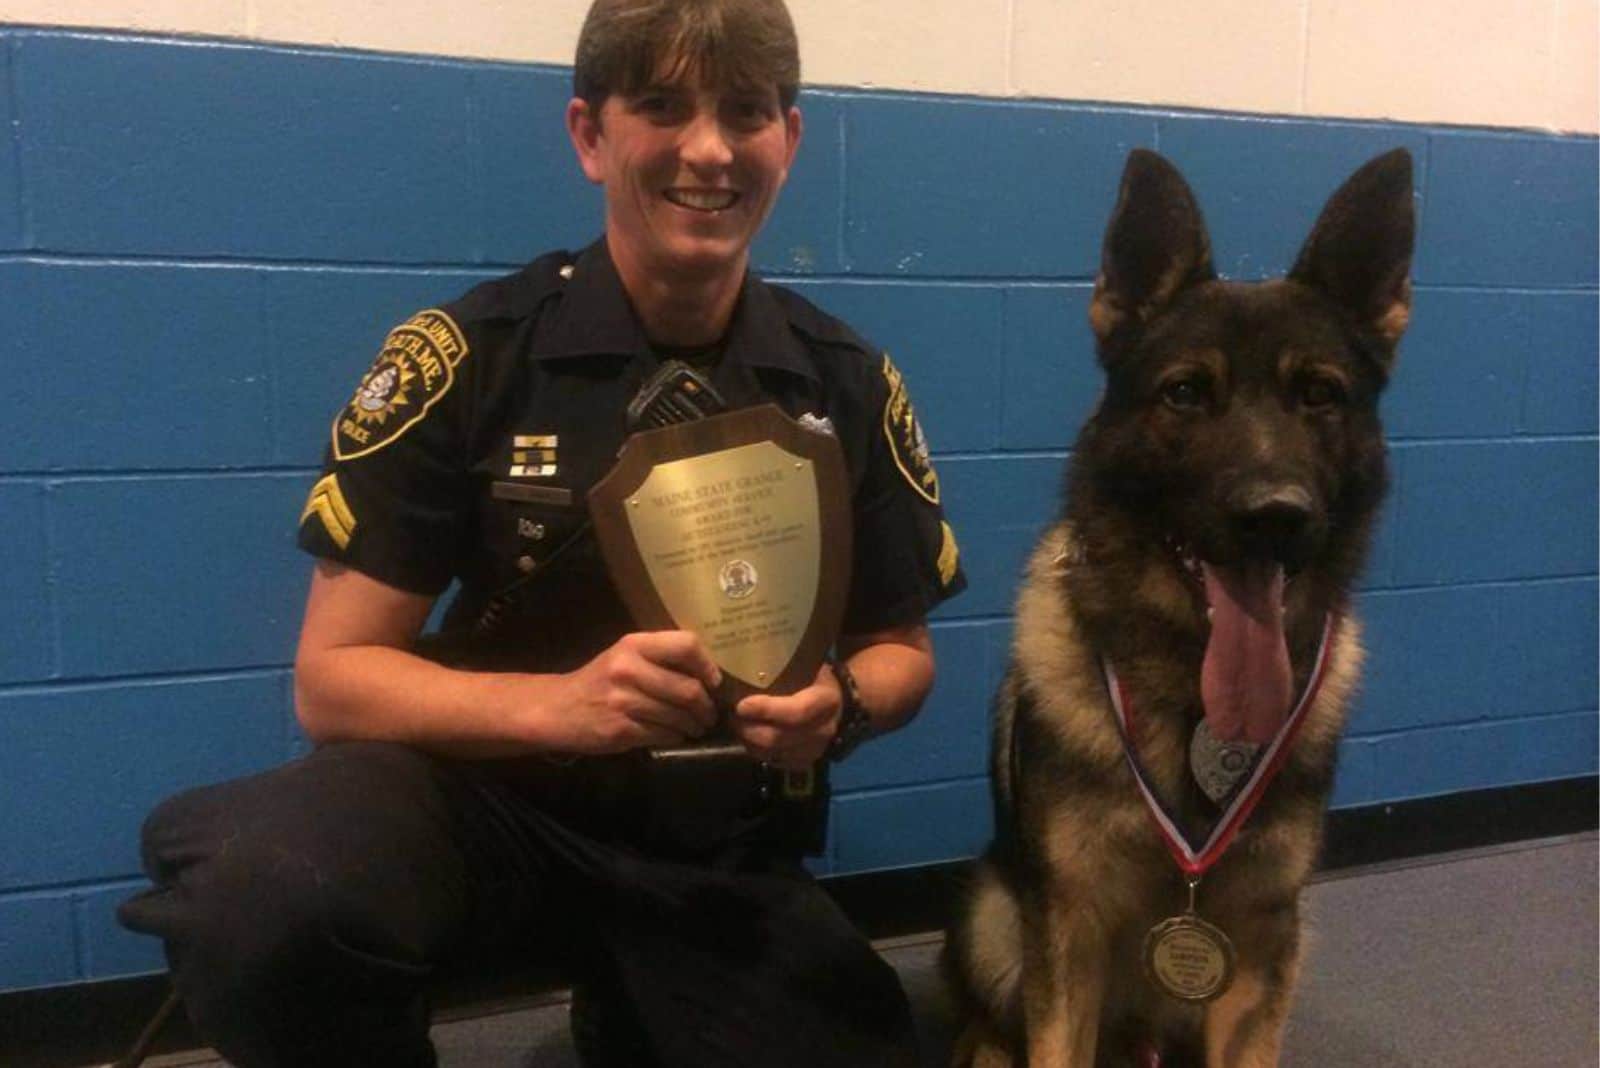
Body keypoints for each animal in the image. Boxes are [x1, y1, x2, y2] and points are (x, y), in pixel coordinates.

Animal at [940, 151, 1420, 1068]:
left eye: (1320, 396)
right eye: (1188, 394)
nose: (1276, 516)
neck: (1194, 699)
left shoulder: (1262, 947)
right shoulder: (1069, 934)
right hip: (991, 916)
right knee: (986, 1027)